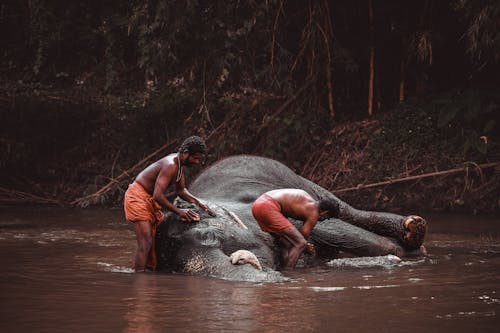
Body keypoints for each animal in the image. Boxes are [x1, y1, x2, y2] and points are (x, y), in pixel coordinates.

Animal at [155, 154, 426, 282]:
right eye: (172, 265)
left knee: (345, 211)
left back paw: (414, 229)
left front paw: (404, 253)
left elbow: (331, 229)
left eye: (209, 236)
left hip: (294, 177)